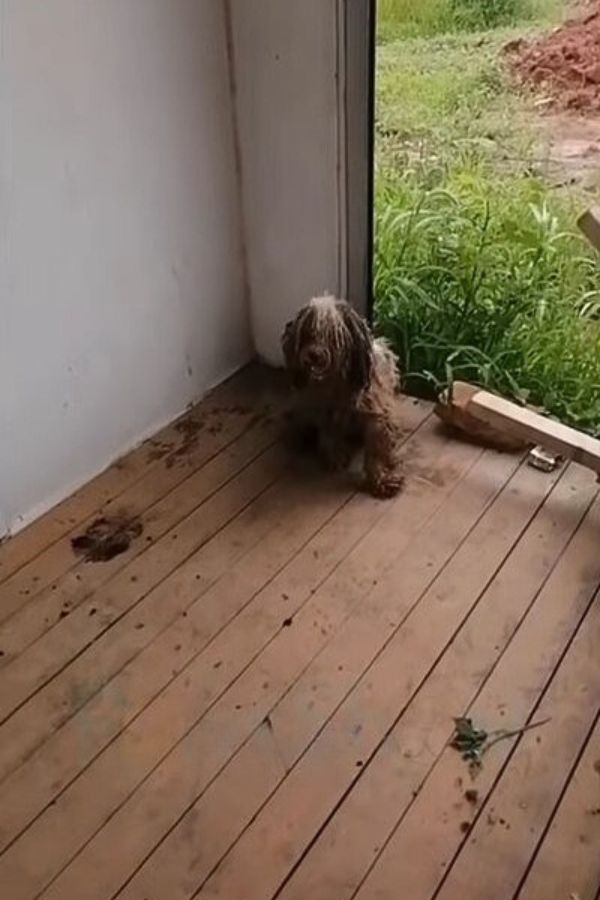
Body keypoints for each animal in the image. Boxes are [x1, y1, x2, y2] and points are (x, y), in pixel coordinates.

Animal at [280, 296, 404, 500]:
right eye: (308, 331)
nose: (313, 355)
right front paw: (335, 456)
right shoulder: (323, 411)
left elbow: (377, 449)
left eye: (333, 335)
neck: (337, 384)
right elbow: (329, 435)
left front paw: (381, 478)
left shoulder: (376, 415)